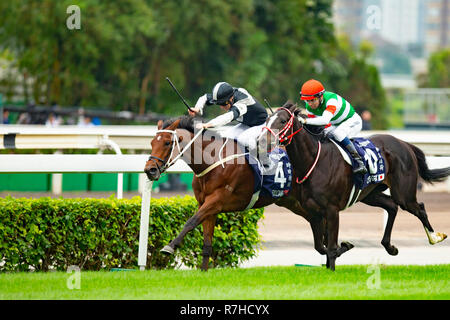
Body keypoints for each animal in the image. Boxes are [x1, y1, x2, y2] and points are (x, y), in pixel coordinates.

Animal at [144, 115, 342, 270]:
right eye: (152, 142)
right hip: (293, 202)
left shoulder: (216, 201)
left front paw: (169, 247)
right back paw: (332, 253)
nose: (149, 170)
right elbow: (207, 242)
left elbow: (191, 222)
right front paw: (203, 272)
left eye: (167, 142)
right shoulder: (207, 206)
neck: (213, 161)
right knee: (319, 223)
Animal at [258, 102, 448, 270]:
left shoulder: (332, 210)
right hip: (370, 194)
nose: (261, 141)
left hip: (404, 194)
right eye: (267, 119)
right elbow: (321, 246)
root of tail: (404, 143)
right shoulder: (314, 212)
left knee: (419, 208)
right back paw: (390, 247)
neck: (313, 161)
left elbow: (331, 247)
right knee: (392, 206)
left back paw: (435, 237)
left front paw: (335, 262)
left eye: (283, 121)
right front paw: (341, 250)